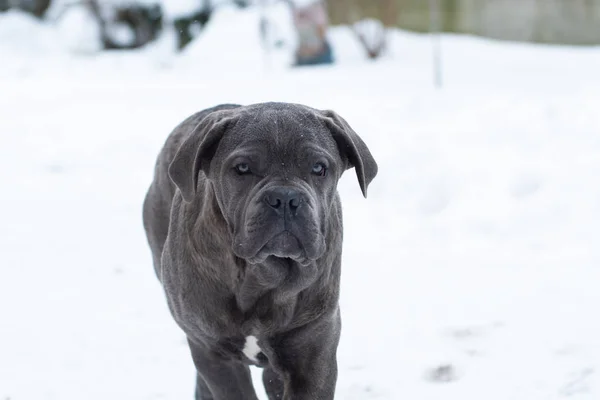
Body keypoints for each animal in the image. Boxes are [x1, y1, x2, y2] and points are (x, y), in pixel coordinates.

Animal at [143, 103, 378, 400]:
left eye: (319, 167)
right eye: (242, 168)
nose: (286, 198)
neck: (263, 276)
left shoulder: (313, 352)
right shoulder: (213, 353)